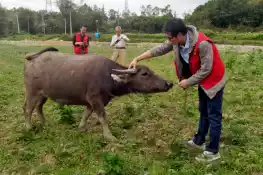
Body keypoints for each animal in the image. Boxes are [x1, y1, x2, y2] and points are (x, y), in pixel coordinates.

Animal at [23, 47, 174, 142]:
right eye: (144, 74)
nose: (169, 83)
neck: (108, 76)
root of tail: (33, 59)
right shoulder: (95, 99)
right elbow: (103, 117)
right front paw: (109, 136)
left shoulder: (92, 102)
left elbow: (86, 114)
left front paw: (81, 127)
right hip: (32, 92)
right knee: (28, 109)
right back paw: (29, 127)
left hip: (43, 94)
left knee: (39, 107)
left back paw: (45, 123)